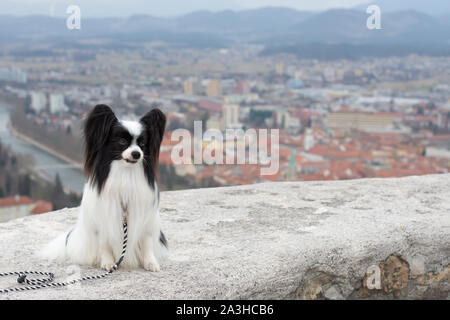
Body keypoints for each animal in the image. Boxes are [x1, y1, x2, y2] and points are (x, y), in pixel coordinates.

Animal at [41, 104, 167, 270]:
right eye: (122, 141)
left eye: (142, 144)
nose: (136, 154)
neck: (125, 172)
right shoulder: (103, 220)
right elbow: (104, 245)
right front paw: (108, 263)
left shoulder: (145, 219)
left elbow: (147, 243)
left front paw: (150, 263)